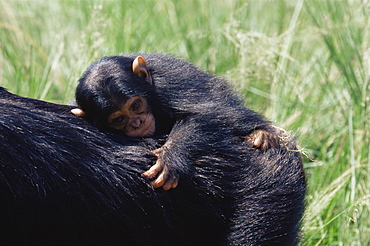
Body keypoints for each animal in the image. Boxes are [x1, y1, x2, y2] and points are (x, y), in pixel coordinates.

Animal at [72, 53, 286, 190]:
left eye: (136, 105)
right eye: (119, 119)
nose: (137, 123)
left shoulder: (171, 83)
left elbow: (207, 113)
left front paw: (170, 156)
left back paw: (263, 133)